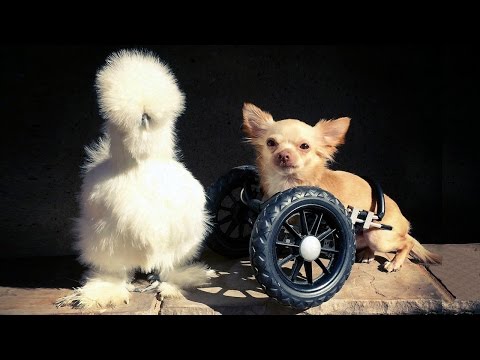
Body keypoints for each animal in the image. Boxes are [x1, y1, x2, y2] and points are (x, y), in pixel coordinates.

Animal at [244, 102, 442, 272]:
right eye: (271, 143)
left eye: (304, 146)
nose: (283, 155)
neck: (288, 183)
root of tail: (403, 218)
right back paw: (368, 254)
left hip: (379, 236)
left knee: (407, 241)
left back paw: (395, 262)